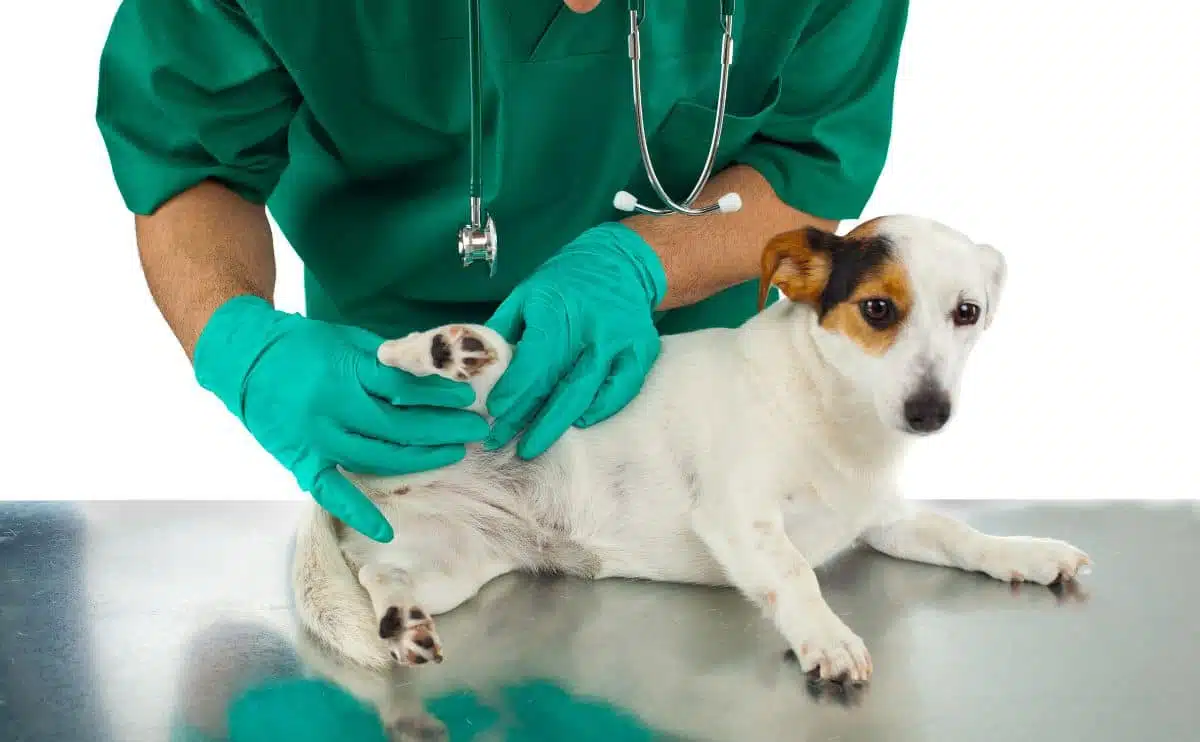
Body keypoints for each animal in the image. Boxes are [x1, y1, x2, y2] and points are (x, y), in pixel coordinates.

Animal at [288, 212, 1089, 681]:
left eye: (968, 313)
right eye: (878, 308)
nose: (930, 412)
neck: (830, 409)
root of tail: (358, 480)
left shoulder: (884, 519)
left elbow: (960, 534)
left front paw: (1027, 553)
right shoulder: (738, 516)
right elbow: (796, 574)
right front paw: (824, 636)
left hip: (454, 562)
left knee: (383, 576)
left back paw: (401, 624)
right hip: (480, 387)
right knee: (393, 359)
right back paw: (445, 349)